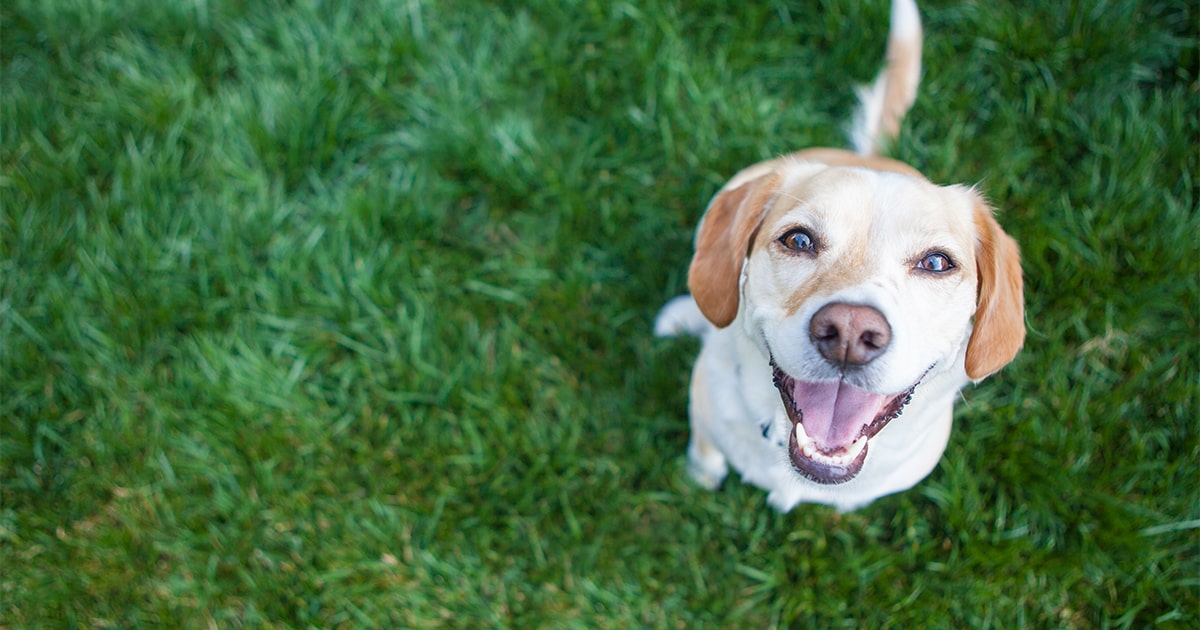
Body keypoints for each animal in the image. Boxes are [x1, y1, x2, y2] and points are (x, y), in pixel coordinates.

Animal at [652, 0, 1027, 511]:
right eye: (798, 241)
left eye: (936, 262)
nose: (850, 332)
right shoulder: (706, 415)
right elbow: (705, 454)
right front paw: (700, 478)